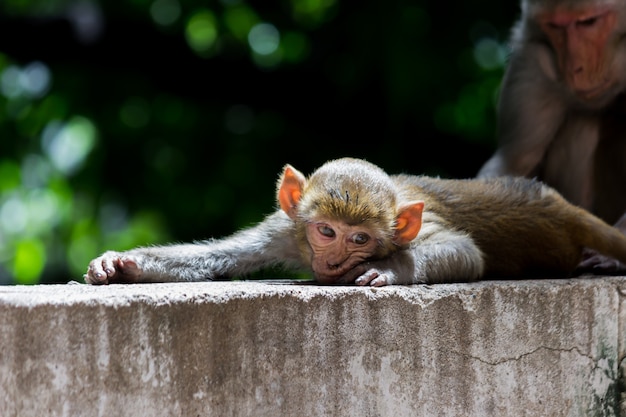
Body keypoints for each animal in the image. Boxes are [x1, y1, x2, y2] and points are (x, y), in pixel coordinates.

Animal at [476, 0, 624, 272]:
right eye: (555, 26)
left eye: (588, 22)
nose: (574, 69)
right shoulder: (532, 58)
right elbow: (514, 160)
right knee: (582, 122)